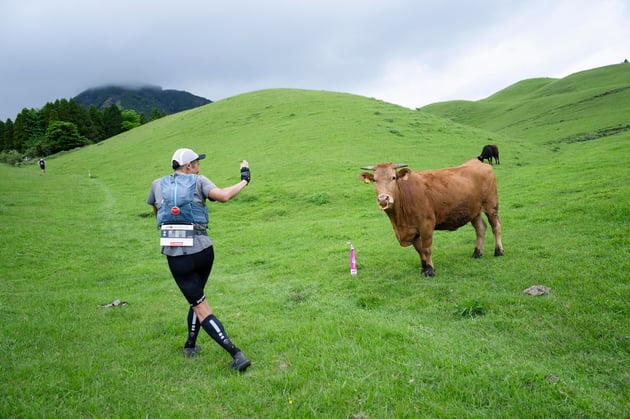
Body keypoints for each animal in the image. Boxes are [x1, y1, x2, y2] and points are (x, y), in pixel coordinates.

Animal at [360, 159, 504, 278]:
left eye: (393, 177)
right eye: (375, 180)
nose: (383, 199)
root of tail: (480, 163)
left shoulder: (426, 224)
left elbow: (426, 248)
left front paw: (430, 270)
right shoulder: (412, 229)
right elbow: (419, 250)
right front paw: (424, 267)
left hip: (491, 206)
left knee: (496, 226)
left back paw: (498, 251)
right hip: (473, 211)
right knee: (480, 228)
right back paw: (477, 253)